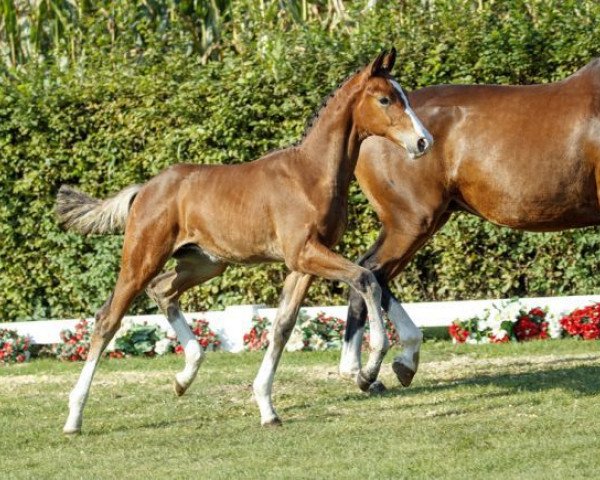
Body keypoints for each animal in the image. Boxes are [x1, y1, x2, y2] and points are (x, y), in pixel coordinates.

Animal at [56, 49, 434, 436]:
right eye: (385, 98)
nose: (423, 142)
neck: (310, 175)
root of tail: (144, 189)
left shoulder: (302, 265)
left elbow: (282, 327)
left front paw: (267, 407)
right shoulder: (305, 253)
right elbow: (365, 278)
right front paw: (371, 368)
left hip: (204, 262)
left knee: (162, 290)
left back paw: (184, 376)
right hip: (142, 258)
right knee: (108, 319)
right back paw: (74, 417)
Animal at [338, 58, 600, 386]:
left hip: (425, 221)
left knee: (373, 273)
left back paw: (385, 365)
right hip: (410, 222)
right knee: (370, 270)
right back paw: (369, 369)